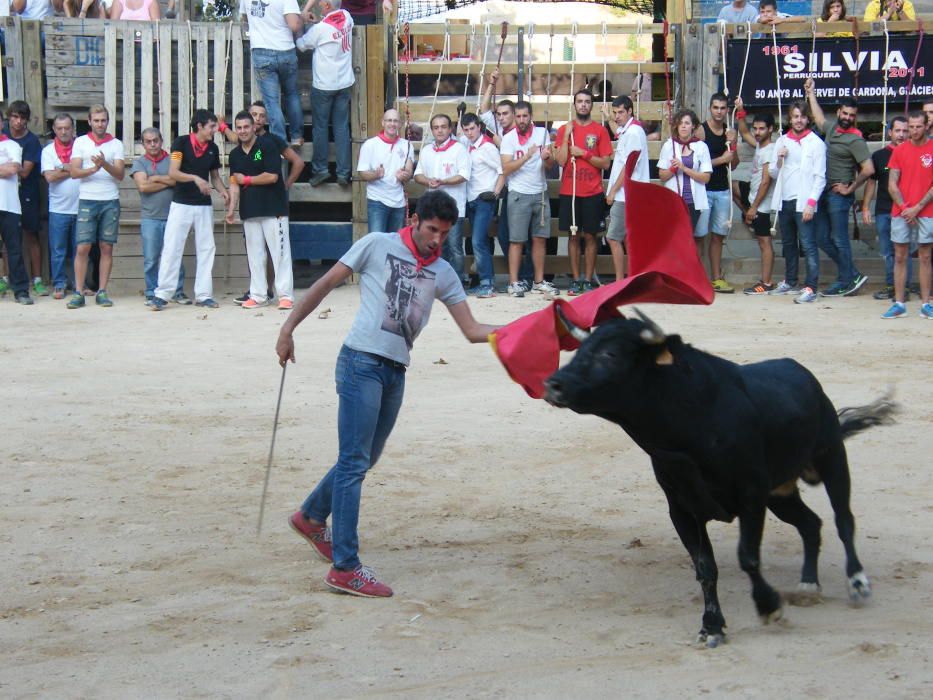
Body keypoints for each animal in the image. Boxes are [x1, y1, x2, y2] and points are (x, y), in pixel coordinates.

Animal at [548, 308, 896, 648]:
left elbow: (748, 557)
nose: (553, 384)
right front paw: (712, 626)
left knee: (843, 519)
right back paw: (809, 585)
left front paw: (769, 607)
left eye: (610, 353)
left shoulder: (751, 497)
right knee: (811, 524)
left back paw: (857, 582)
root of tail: (805, 375)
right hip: (780, 495)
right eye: (579, 349)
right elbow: (705, 568)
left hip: (832, 458)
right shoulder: (682, 509)